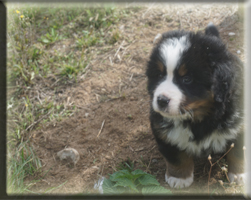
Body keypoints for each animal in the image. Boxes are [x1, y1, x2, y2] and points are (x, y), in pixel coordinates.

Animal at [146, 24, 244, 188]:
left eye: (187, 79)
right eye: (159, 75)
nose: (161, 100)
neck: (199, 118)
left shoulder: (240, 125)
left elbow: (238, 152)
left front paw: (239, 175)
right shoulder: (163, 130)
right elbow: (176, 156)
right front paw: (179, 178)